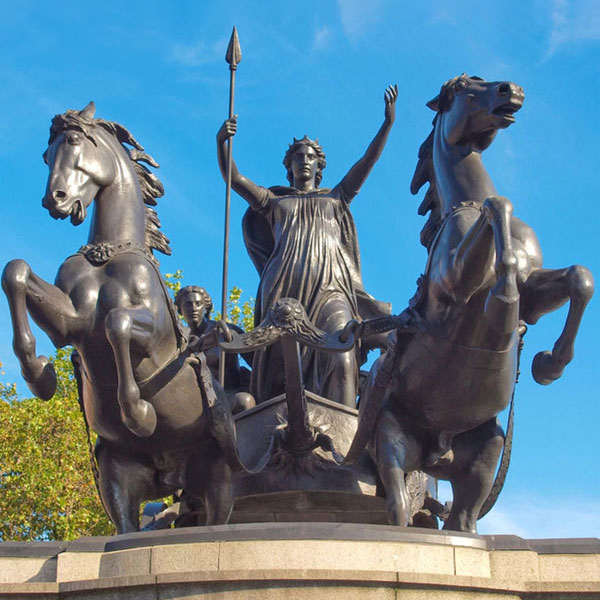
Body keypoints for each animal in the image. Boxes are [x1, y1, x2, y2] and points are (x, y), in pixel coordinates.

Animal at [2, 102, 239, 528]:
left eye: (74, 141)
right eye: (46, 155)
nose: (54, 200)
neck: (108, 253)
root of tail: (174, 476)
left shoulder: (157, 339)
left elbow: (118, 324)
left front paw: (139, 414)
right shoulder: (72, 322)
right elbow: (16, 271)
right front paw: (40, 374)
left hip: (219, 479)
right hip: (117, 479)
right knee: (126, 526)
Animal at [350, 76, 592, 536]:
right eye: (466, 87)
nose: (511, 90)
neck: (467, 202)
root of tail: (437, 451)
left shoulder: (536, 292)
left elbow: (578, 279)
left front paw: (547, 364)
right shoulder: (455, 283)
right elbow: (500, 208)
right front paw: (502, 302)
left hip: (485, 454)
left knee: (462, 521)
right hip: (391, 441)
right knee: (399, 510)